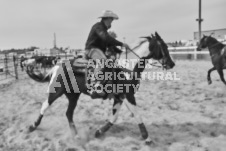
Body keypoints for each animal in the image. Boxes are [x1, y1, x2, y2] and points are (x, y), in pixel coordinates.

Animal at [26, 31, 175, 144]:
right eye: (164, 46)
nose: (171, 63)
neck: (126, 67)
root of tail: (58, 65)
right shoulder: (128, 96)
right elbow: (137, 114)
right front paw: (147, 138)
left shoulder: (119, 97)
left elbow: (114, 117)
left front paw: (99, 132)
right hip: (56, 91)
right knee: (45, 105)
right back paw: (32, 126)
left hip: (73, 96)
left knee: (69, 113)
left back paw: (76, 136)